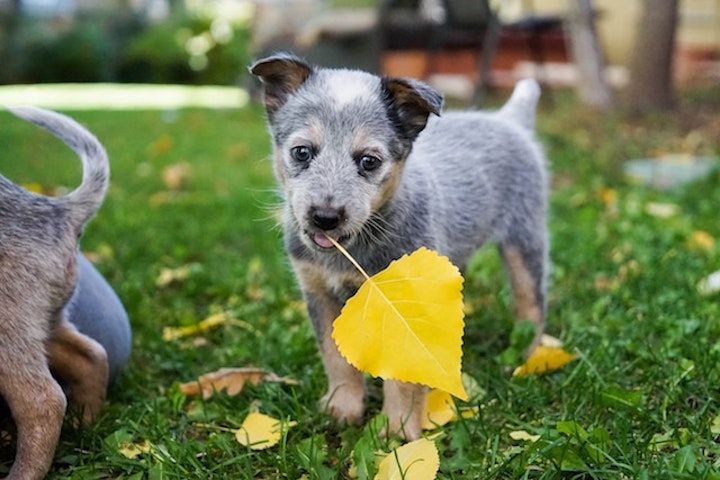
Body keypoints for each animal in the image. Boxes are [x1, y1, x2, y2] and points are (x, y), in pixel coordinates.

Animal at [250, 54, 548, 440]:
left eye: (369, 161)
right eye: (302, 152)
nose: (325, 217)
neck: (355, 253)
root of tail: (508, 119)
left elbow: (405, 378)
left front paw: (398, 433)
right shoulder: (319, 292)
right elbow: (335, 358)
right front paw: (343, 408)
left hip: (524, 239)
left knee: (532, 303)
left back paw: (528, 360)